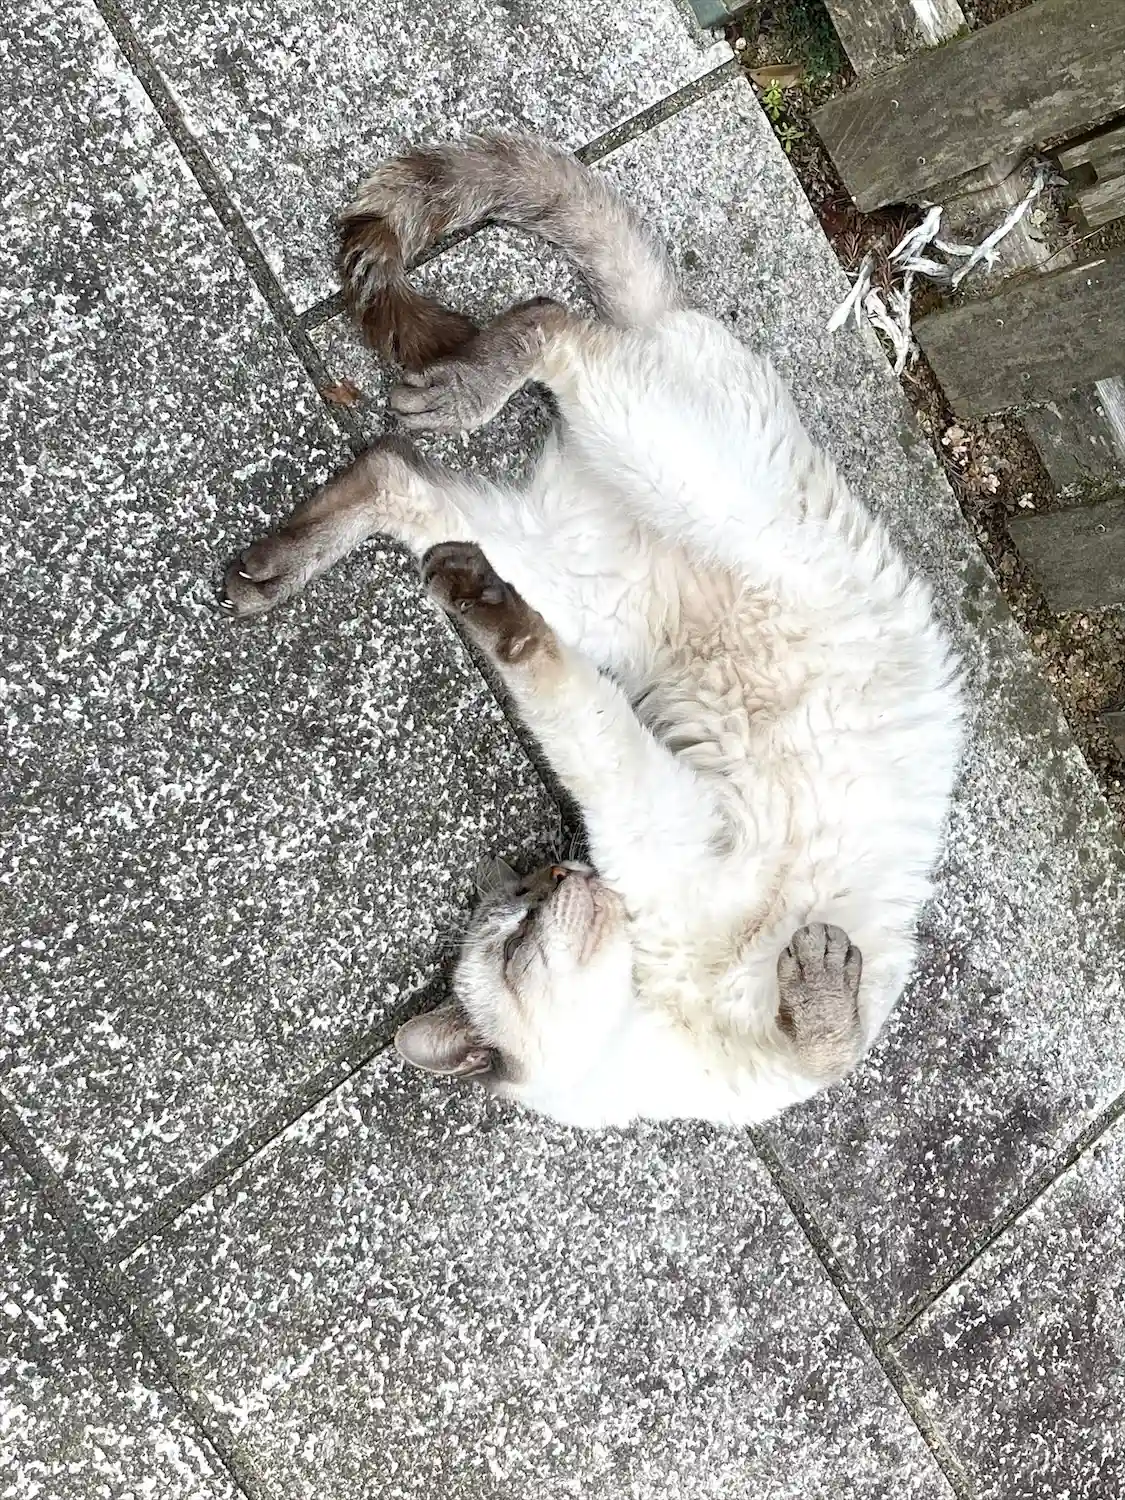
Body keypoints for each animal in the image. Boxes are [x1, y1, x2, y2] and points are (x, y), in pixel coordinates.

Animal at [221, 134, 963, 1129]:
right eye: (521, 929)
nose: (568, 882)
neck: (650, 1004)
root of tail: (677, 316)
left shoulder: (661, 823)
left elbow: (826, 1046)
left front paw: (817, 980)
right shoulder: (636, 801)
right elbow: (538, 668)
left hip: (664, 485)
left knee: (543, 330)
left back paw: (446, 406)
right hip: (582, 578)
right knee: (410, 462)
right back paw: (279, 571)